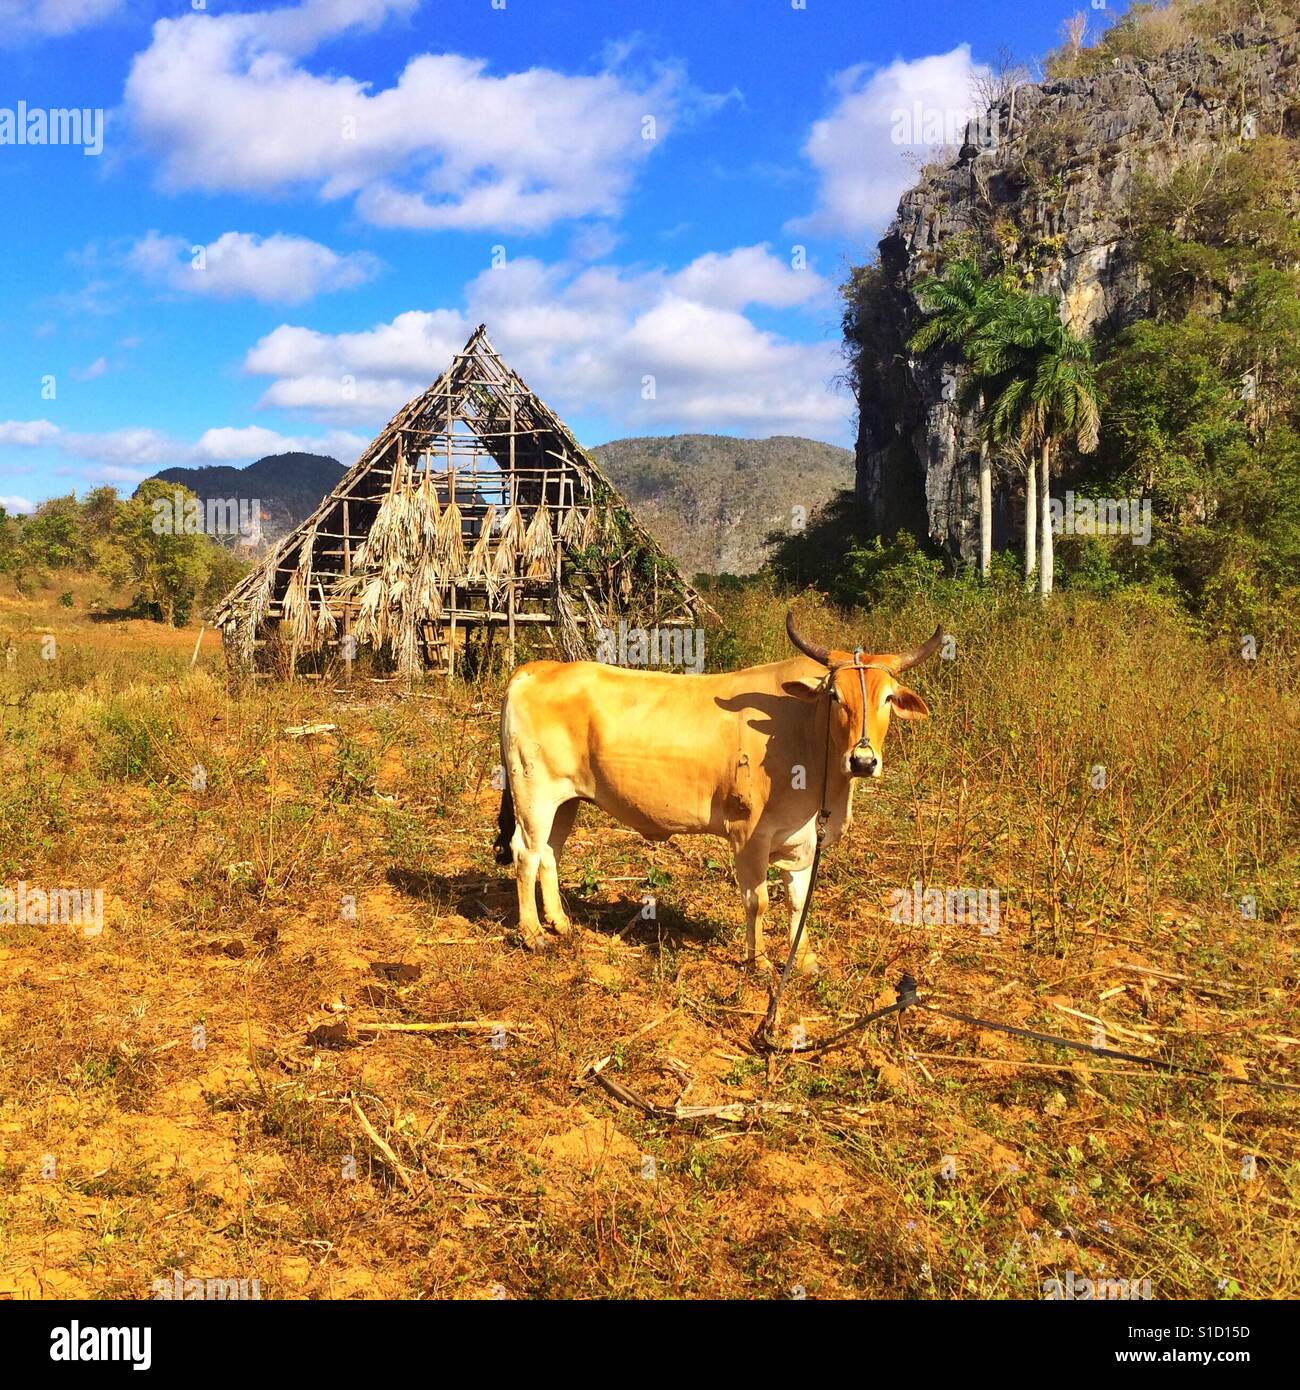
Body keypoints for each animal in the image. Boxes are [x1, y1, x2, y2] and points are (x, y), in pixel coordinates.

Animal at [493, 611, 942, 973]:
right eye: (835, 696)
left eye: (887, 697)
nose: (863, 760)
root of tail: (537, 669)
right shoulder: (749, 835)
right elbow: (758, 901)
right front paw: (759, 962)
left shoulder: (803, 841)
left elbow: (798, 901)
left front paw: (805, 959)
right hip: (534, 793)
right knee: (525, 853)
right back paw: (533, 933)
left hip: (565, 800)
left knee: (549, 853)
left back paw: (560, 922)